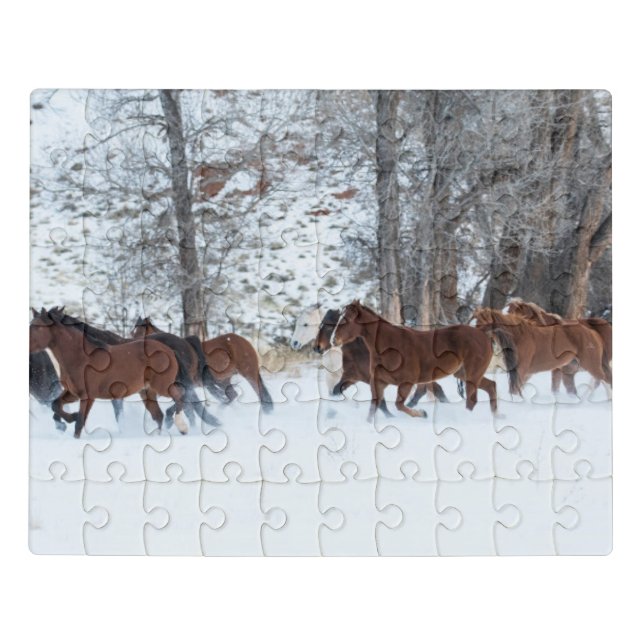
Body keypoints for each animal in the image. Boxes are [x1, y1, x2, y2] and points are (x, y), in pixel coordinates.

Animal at [29, 307, 194, 438]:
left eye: (38, 327)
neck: (80, 357)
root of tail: (169, 350)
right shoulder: (72, 393)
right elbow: (55, 405)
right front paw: (69, 419)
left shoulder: (87, 396)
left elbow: (80, 423)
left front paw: (73, 423)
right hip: (147, 392)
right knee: (158, 415)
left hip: (162, 385)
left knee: (179, 395)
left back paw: (182, 427)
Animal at [322, 301, 510, 421]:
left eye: (345, 320)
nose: (333, 341)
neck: (389, 346)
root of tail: (483, 333)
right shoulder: (378, 382)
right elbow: (374, 407)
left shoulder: (406, 382)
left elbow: (399, 405)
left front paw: (422, 414)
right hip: (464, 373)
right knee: (491, 387)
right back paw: (498, 416)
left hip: (472, 374)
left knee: (473, 399)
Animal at [473, 307, 611, 395]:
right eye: (476, 322)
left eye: (483, 322)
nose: (475, 336)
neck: (518, 336)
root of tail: (591, 331)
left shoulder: (521, 371)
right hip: (570, 369)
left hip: (591, 365)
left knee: (605, 380)